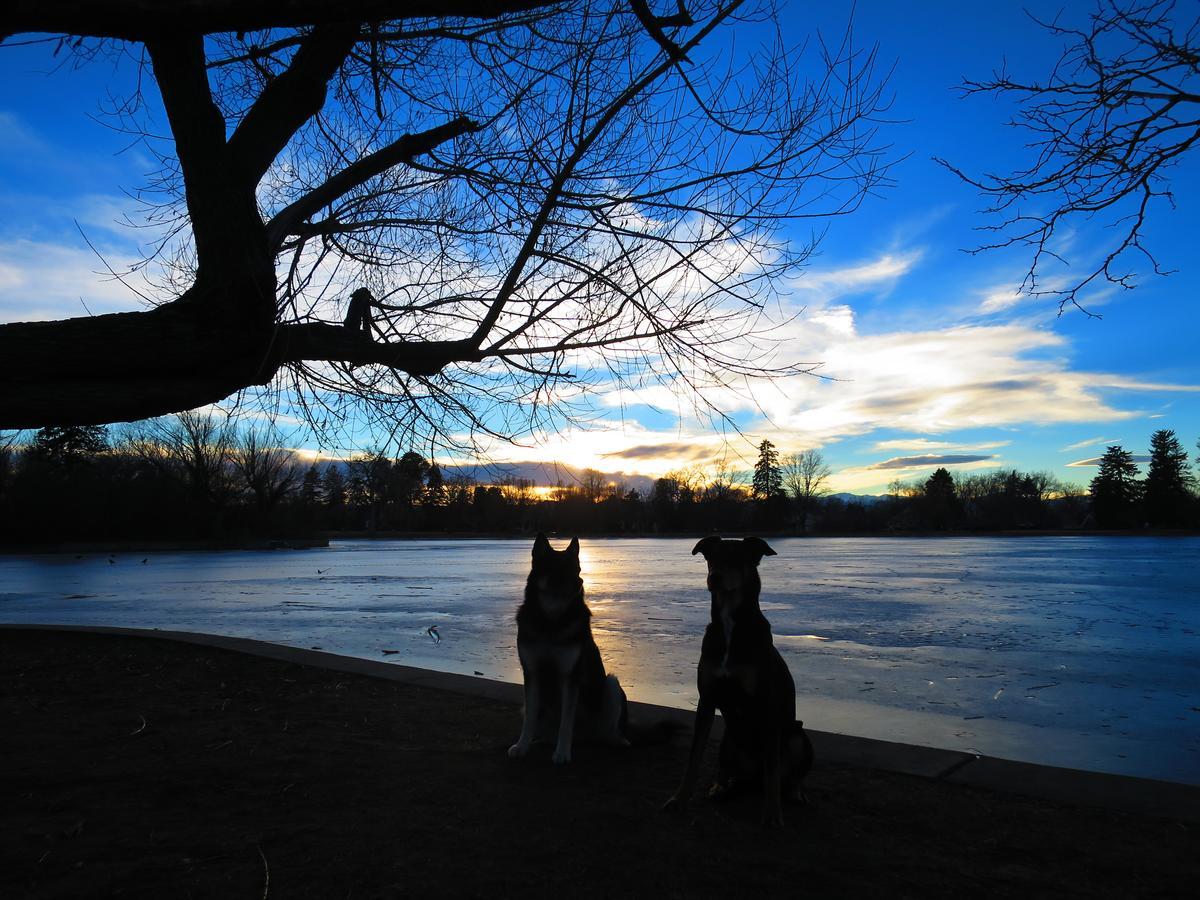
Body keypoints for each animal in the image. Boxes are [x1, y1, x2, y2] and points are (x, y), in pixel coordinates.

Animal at [506, 535, 628, 768]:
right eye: (558, 569)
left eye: (577, 569)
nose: (580, 582)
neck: (551, 621)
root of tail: (585, 737)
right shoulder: (532, 673)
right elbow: (530, 719)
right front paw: (522, 746)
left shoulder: (570, 676)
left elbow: (566, 721)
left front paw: (562, 753)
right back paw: (542, 740)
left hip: (610, 685)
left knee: (605, 731)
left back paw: (616, 740)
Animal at [667, 540, 816, 830]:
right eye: (711, 558)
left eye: (738, 558)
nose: (714, 578)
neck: (729, 624)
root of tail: (752, 780)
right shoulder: (706, 700)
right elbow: (694, 757)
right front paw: (679, 799)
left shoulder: (767, 705)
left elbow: (773, 769)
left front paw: (772, 816)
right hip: (728, 739)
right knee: (730, 769)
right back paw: (722, 786)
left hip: (797, 735)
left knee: (786, 775)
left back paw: (794, 792)